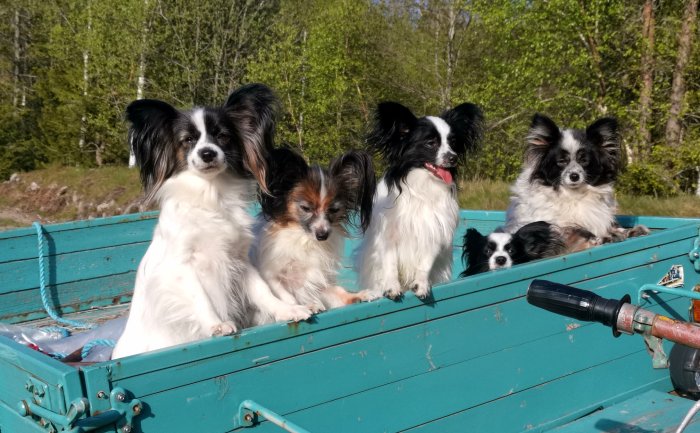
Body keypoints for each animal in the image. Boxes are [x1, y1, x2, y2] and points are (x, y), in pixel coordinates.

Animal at [113, 84, 310, 358]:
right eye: (188, 140)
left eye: (222, 136)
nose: (207, 153)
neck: (211, 194)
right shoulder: (182, 265)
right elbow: (200, 297)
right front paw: (216, 324)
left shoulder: (239, 261)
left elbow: (262, 291)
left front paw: (286, 310)